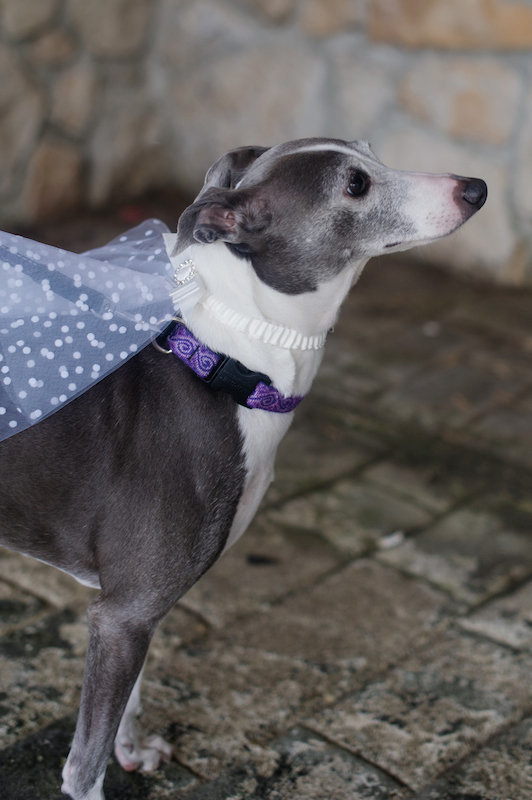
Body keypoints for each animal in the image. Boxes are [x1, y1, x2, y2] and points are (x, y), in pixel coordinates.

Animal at [0, 134, 486, 796]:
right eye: (355, 184)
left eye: (371, 152)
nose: (476, 188)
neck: (226, 364)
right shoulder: (122, 614)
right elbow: (83, 767)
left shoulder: (135, 609)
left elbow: (132, 701)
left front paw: (133, 750)